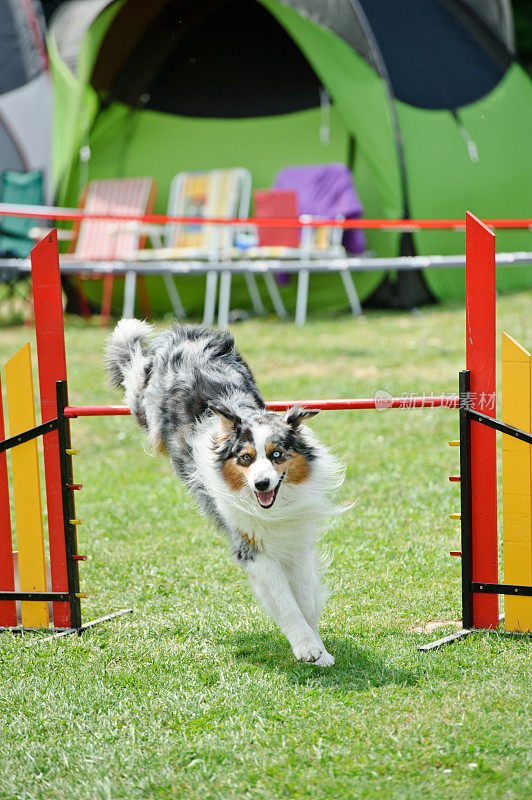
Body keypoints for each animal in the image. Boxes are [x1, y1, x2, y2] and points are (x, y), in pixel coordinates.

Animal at [105, 318, 344, 664]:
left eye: (277, 455)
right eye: (245, 458)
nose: (261, 484)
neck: (272, 507)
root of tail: (183, 331)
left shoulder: (295, 539)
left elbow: (306, 599)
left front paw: (319, 648)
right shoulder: (250, 547)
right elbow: (285, 601)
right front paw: (307, 646)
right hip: (145, 408)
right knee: (133, 369)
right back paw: (128, 330)